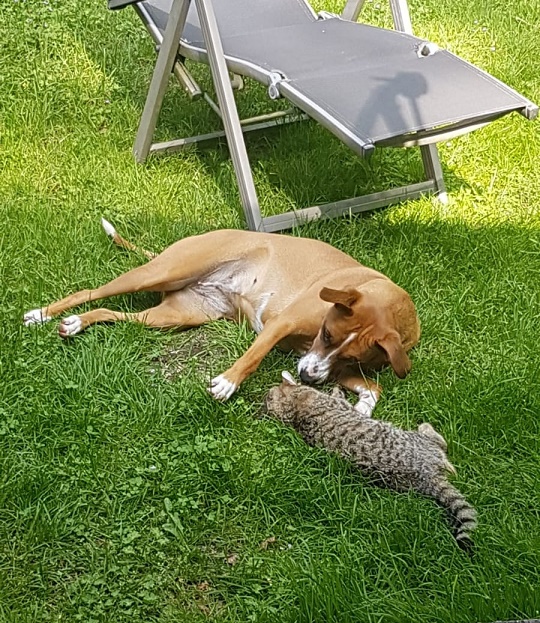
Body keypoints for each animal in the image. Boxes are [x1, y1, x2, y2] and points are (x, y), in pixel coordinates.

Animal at [24, 220, 420, 411]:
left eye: (352, 358)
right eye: (326, 334)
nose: (306, 378)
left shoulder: (334, 366)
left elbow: (374, 389)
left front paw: (361, 411)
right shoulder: (280, 326)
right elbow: (253, 356)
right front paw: (227, 383)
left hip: (171, 316)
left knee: (109, 310)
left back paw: (75, 324)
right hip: (159, 272)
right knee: (89, 293)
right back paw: (42, 313)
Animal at [264, 372, 477, 551]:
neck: (294, 411)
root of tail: (428, 477)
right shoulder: (340, 405)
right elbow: (340, 398)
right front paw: (336, 390)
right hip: (423, 442)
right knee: (441, 445)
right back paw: (427, 429)